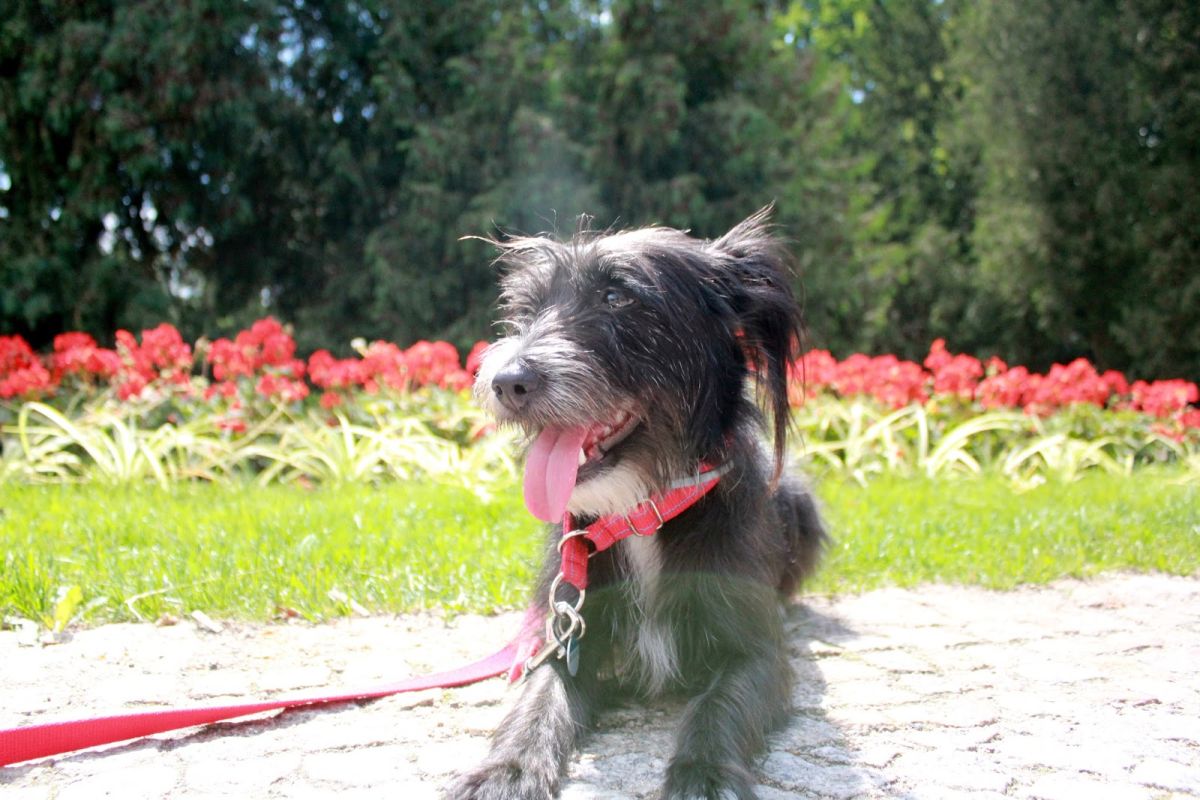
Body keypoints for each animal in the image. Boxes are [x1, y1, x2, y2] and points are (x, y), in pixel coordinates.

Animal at [452, 208, 826, 800]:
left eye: (617, 298)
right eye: (525, 310)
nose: (506, 381)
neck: (641, 510)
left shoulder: (757, 654)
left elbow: (719, 707)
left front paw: (704, 776)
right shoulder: (567, 637)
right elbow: (537, 702)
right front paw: (504, 770)